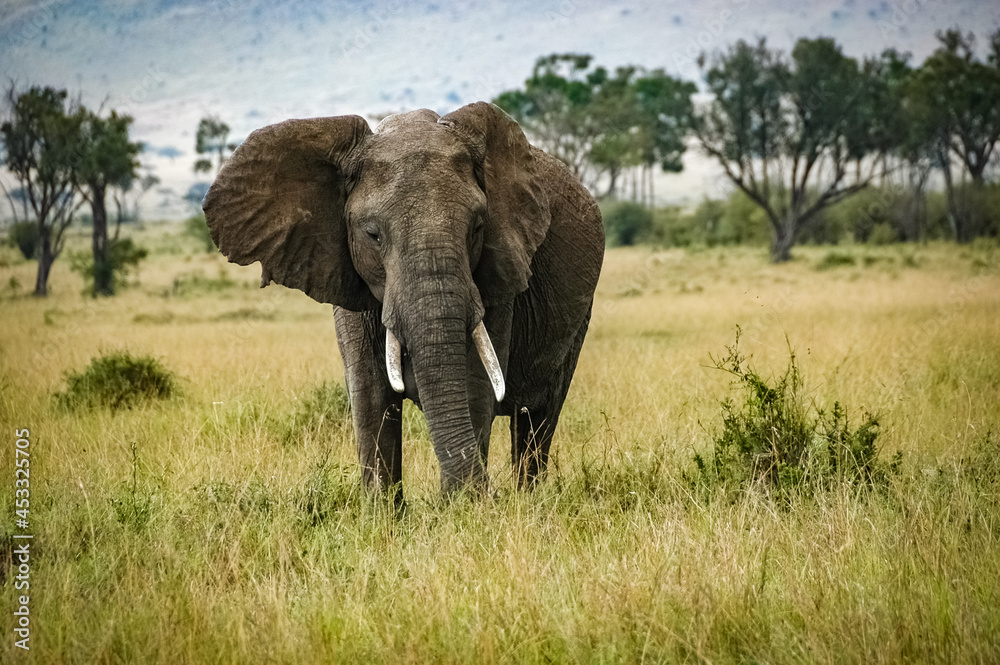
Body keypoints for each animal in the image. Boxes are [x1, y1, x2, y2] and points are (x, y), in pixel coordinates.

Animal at [203, 102, 604, 499]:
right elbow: (369, 393)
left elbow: (475, 382)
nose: (488, 493)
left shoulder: (499, 278)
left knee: (538, 418)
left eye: (477, 228)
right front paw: (383, 511)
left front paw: (465, 507)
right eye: (372, 234)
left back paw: (528, 499)